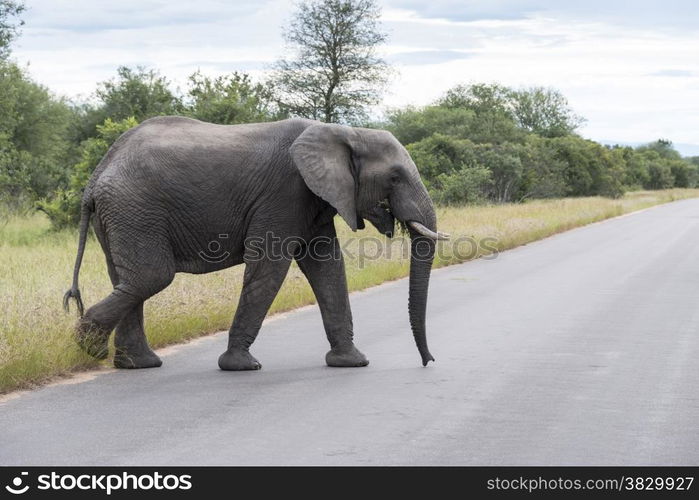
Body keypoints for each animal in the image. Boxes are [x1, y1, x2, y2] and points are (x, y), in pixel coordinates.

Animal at [65, 115, 448, 370]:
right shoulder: (285, 193)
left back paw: (137, 364)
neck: (345, 131)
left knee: (127, 279)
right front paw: (241, 366)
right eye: (394, 178)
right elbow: (270, 265)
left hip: (122, 213)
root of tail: (98, 173)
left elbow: (327, 267)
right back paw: (89, 347)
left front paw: (352, 362)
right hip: (134, 207)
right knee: (151, 276)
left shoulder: (313, 200)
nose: (428, 361)